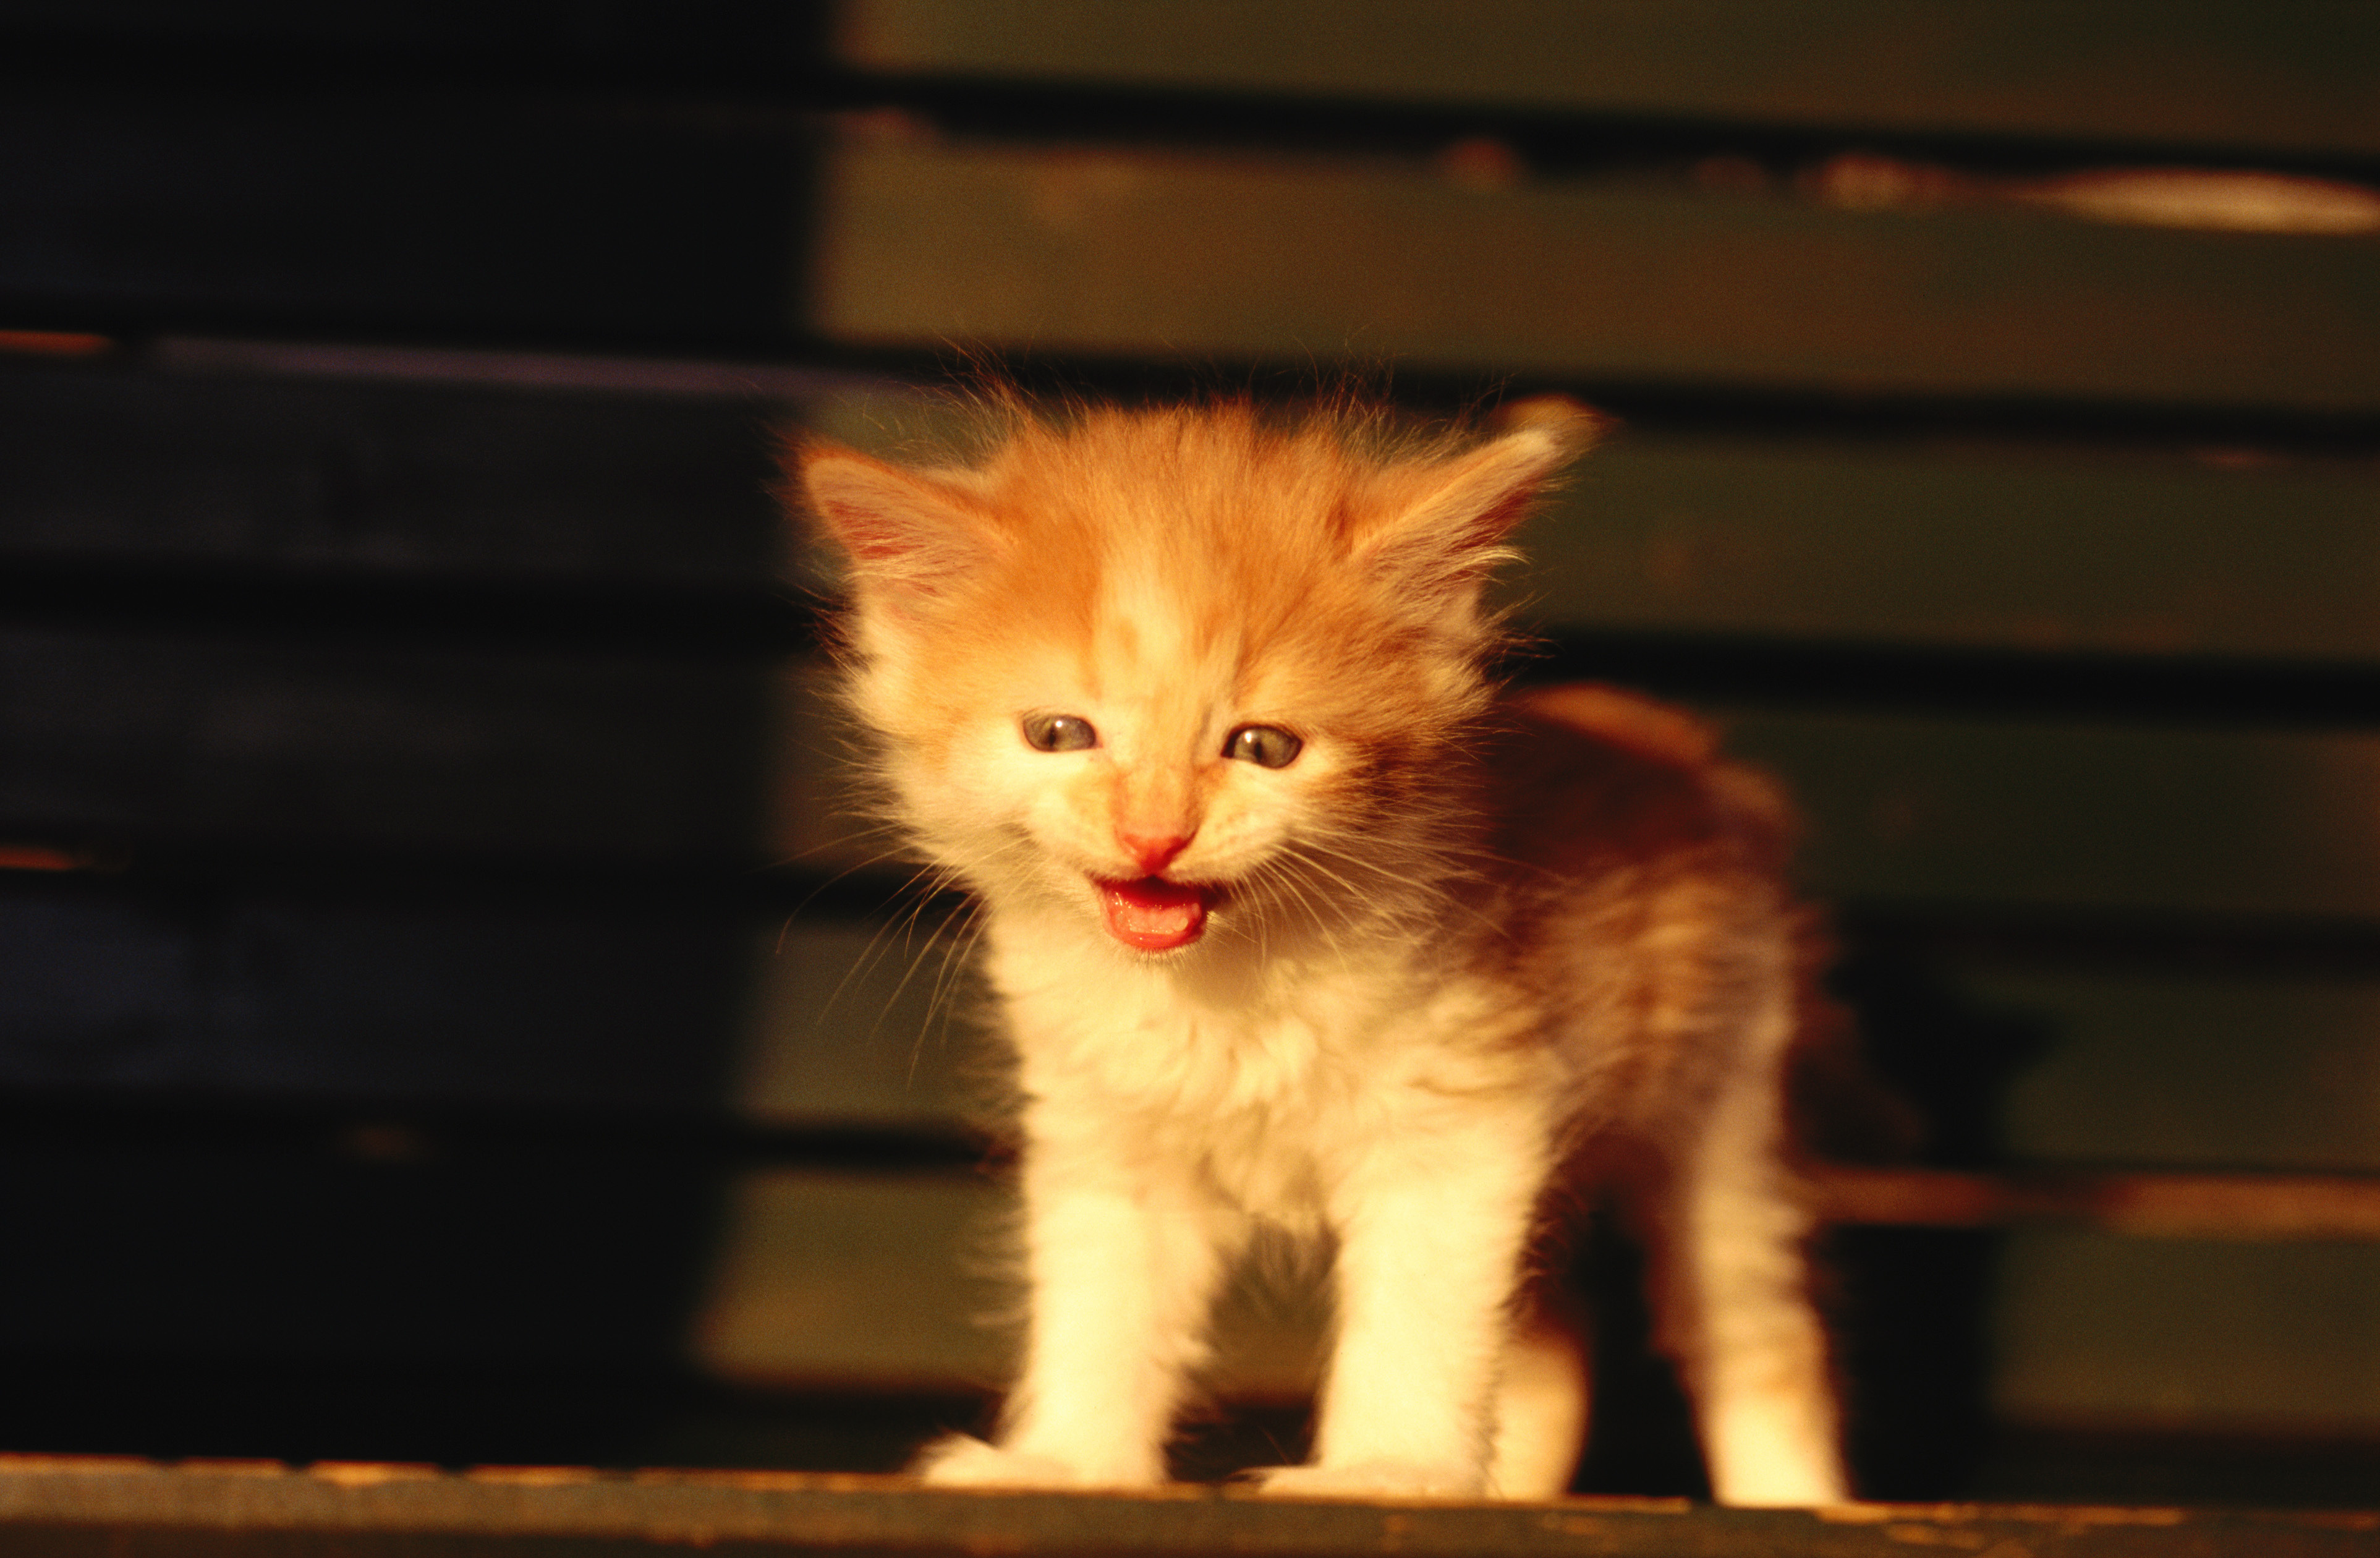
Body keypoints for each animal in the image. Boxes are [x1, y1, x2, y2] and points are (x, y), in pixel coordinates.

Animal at [790, 392, 1847, 1512]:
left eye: (1263, 748)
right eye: (1060, 734)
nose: (1153, 835)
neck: (1224, 983)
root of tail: (1687, 756)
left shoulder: (1466, 1119)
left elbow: (1420, 1320)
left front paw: (1388, 1470)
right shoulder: (1108, 1139)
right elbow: (1103, 1313)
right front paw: (1067, 1463)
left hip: (1724, 1103)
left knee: (1755, 1332)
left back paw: (1794, 1502)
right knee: (1556, 1352)